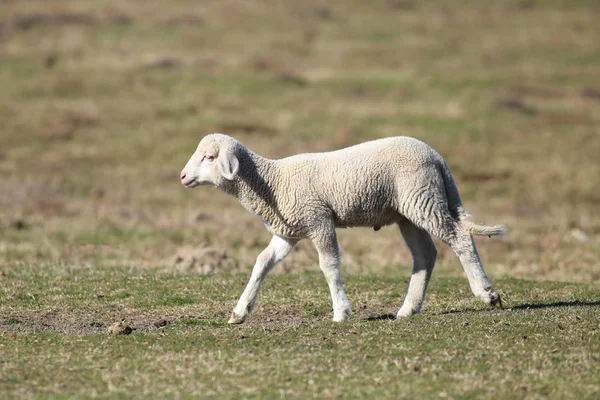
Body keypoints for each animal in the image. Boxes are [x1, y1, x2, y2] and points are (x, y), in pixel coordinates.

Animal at [179, 133, 506, 324]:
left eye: (209, 157)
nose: (182, 176)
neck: (272, 182)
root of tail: (438, 158)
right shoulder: (289, 231)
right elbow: (262, 262)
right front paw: (240, 311)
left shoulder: (318, 220)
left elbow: (329, 265)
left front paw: (341, 312)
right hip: (408, 212)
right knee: (425, 255)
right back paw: (408, 309)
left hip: (422, 198)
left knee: (460, 239)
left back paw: (486, 293)